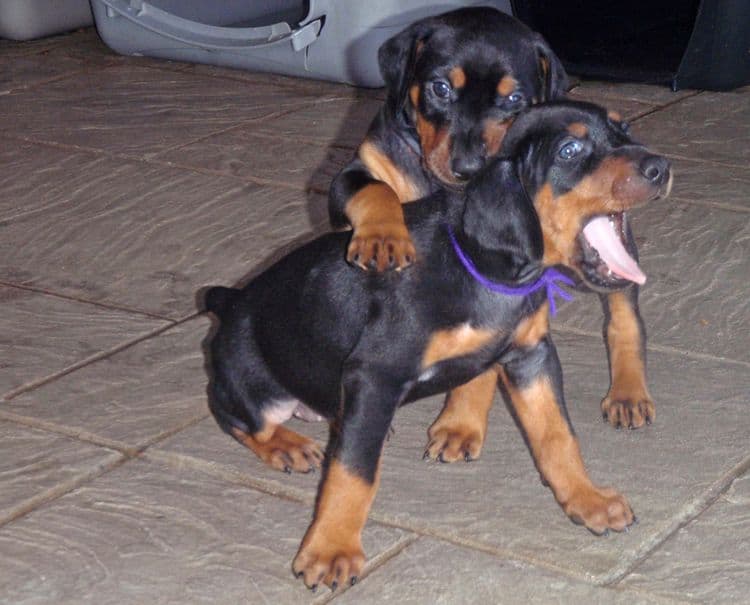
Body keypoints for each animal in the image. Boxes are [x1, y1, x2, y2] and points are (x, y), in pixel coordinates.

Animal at [207, 101, 676, 588]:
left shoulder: (530, 357)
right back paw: (288, 445)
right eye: (569, 151)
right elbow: (353, 471)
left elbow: (557, 435)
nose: (661, 168)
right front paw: (331, 549)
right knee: (235, 416)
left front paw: (587, 500)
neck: (485, 269)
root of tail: (232, 301)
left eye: (625, 130)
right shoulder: (376, 374)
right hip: (256, 389)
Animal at [332, 9, 656, 468]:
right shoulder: (357, 172)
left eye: (513, 99)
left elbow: (484, 359)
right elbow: (375, 191)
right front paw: (383, 238)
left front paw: (459, 426)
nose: (468, 167)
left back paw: (628, 392)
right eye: (440, 88)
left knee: (623, 305)